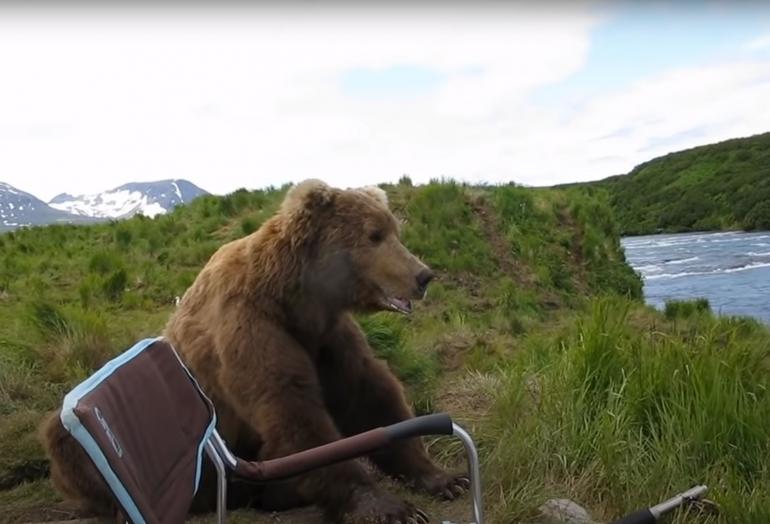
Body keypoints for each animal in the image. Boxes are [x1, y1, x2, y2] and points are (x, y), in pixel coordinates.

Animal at [40, 179, 468, 523]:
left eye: (394, 230)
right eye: (374, 235)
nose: (423, 275)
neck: (294, 298)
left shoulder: (325, 337)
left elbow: (369, 393)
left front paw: (444, 477)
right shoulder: (250, 326)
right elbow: (292, 409)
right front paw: (388, 507)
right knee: (63, 440)